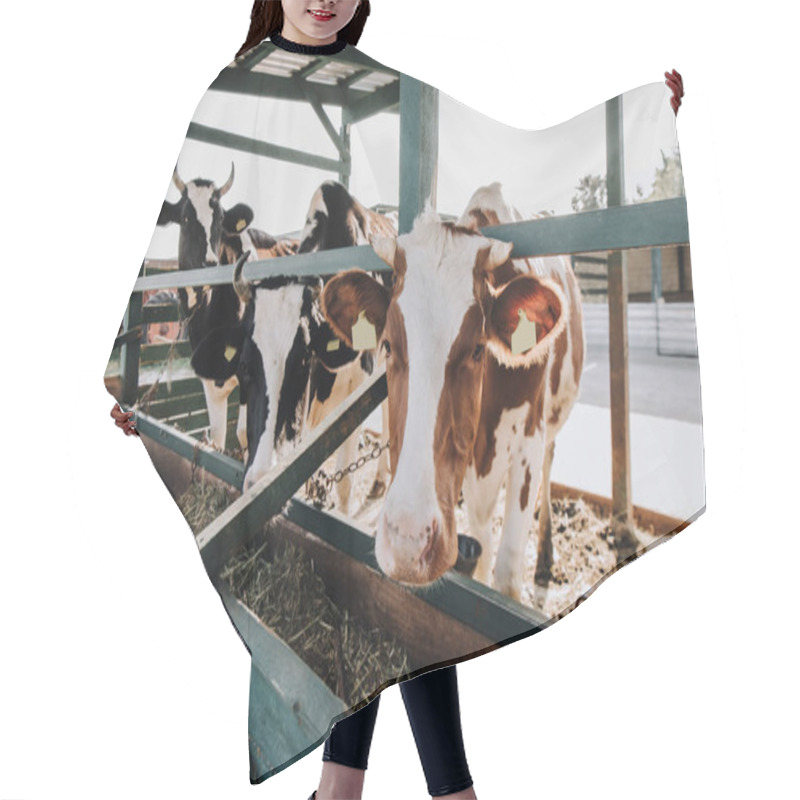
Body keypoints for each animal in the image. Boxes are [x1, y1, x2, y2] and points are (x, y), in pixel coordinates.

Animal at [322, 183, 584, 600]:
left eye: (478, 348)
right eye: (388, 345)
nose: (408, 542)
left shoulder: (529, 436)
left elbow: (506, 572)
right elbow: (482, 542)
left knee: (549, 460)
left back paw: (544, 558)